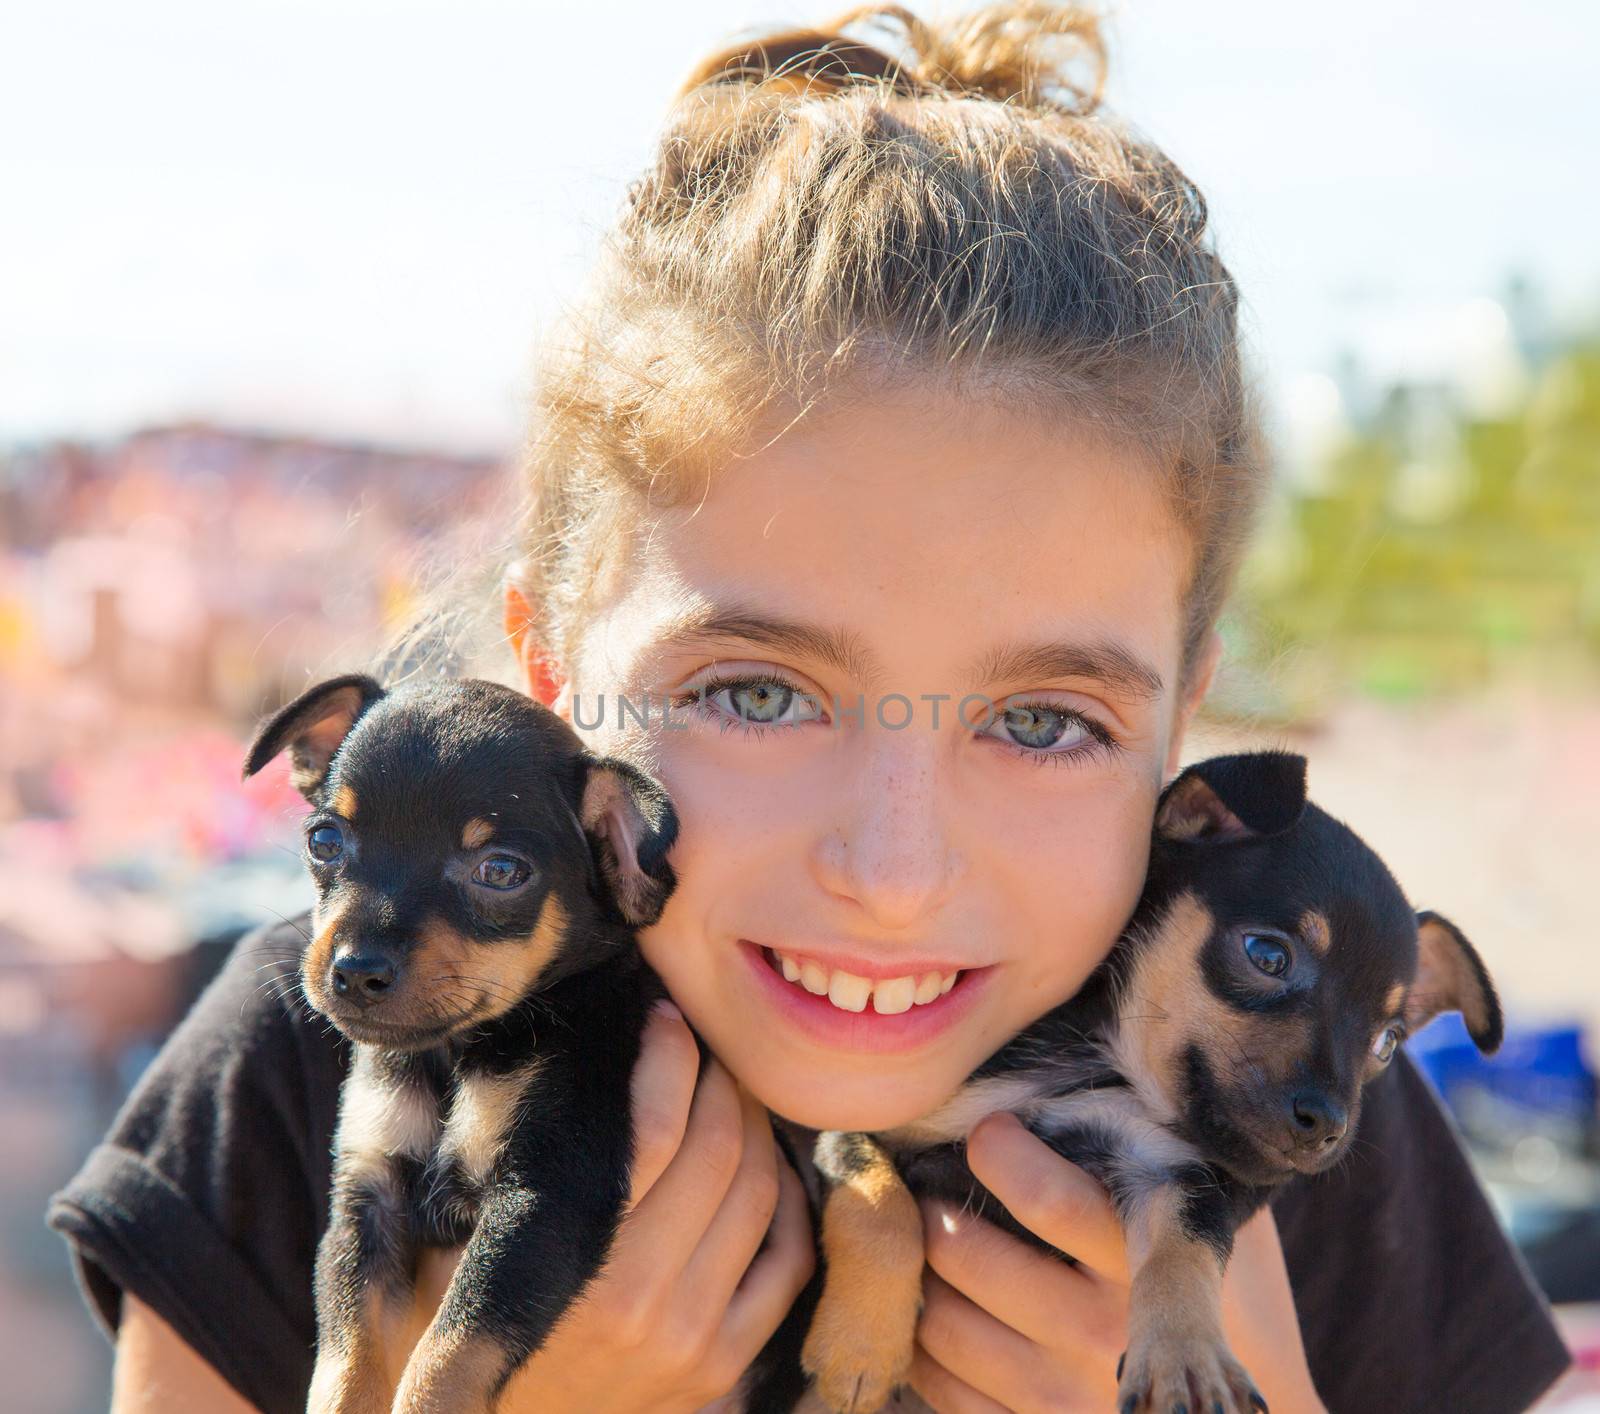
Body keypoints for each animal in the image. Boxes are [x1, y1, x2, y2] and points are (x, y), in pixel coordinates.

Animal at [246, 675, 684, 1414]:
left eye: (500, 872)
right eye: (324, 840)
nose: (355, 971)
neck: (454, 1054)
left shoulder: (544, 1198)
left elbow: (450, 1353)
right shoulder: (368, 1198)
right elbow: (348, 1355)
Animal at [806, 751, 1504, 1414]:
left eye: (1388, 1043)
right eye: (1268, 955)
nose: (1328, 1126)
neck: (1109, 1076)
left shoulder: (1181, 1180)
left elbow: (1181, 1259)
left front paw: (1187, 1360)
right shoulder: (871, 1121)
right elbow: (878, 1202)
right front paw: (860, 1350)